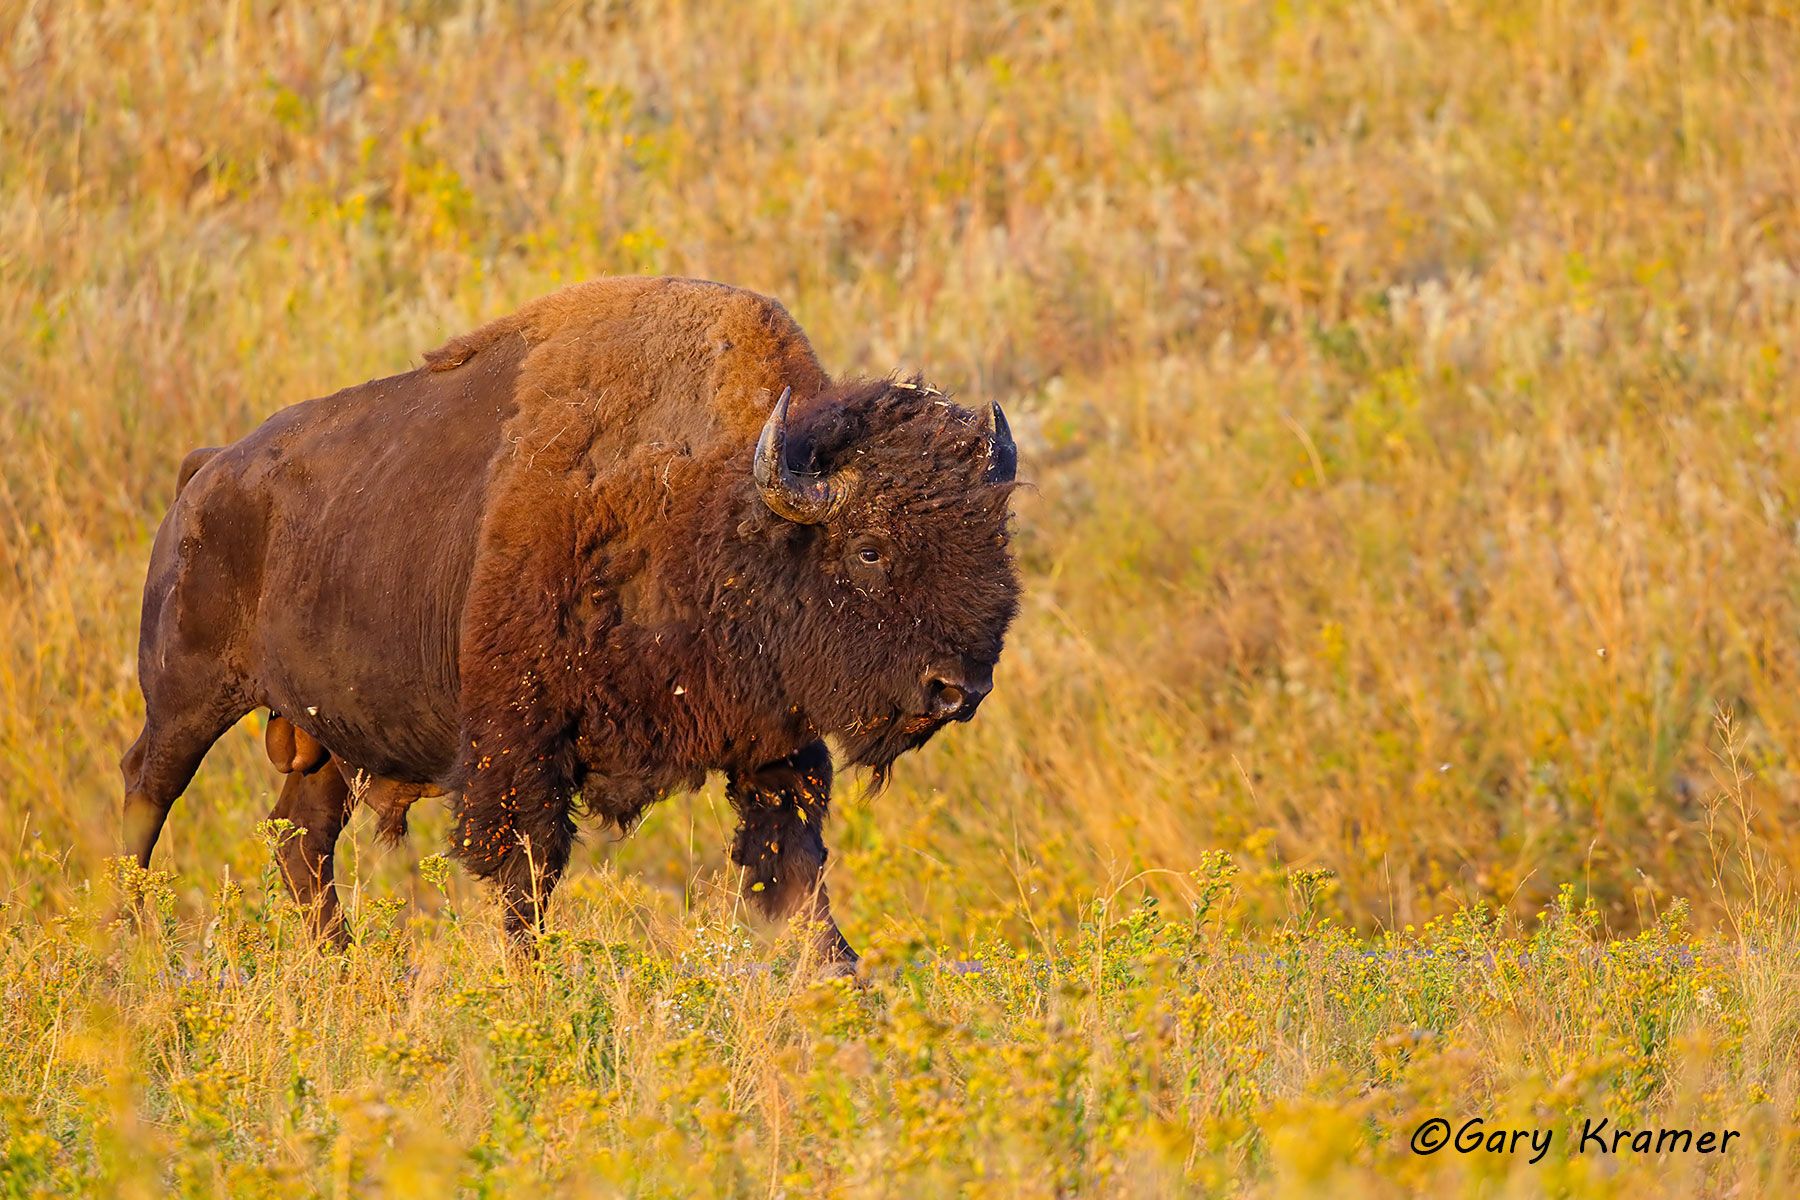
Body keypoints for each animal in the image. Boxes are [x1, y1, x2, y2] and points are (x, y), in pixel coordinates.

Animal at [122, 276, 1020, 972]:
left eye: (994, 539)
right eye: (868, 549)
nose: (959, 689)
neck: (709, 506)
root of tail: (207, 470)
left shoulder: (775, 749)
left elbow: (799, 880)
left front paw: (843, 989)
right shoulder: (521, 747)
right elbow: (527, 884)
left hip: (325, 734)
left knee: (300, 839)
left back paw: (345, 973)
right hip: (186, 695)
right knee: (148, 789)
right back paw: (125, 946)